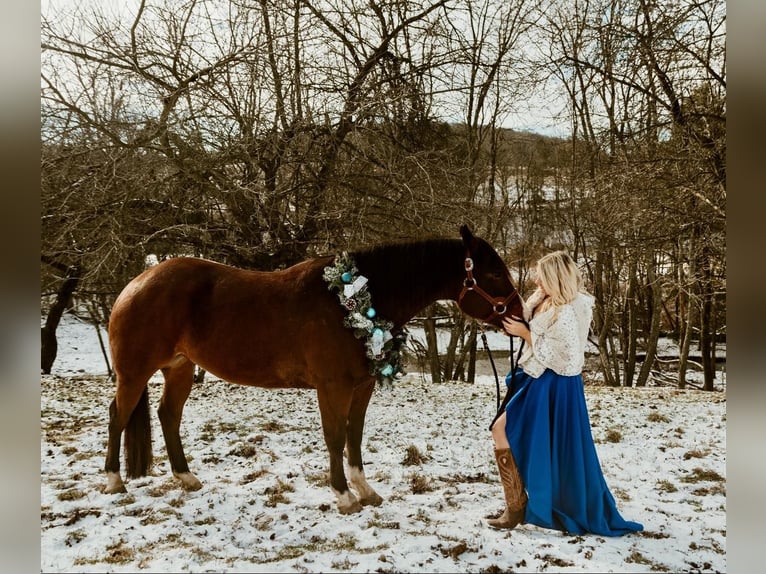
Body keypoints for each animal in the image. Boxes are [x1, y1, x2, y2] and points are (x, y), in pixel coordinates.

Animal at [105, 224, 524, 512]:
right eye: (494, 274)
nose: (521, 316)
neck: (351, 302)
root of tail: (135, 284)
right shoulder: (332, 387)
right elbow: (335, 437)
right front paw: (343, 495)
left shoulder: (361, 387)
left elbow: (355, 435)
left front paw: (364, 490)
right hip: (134, 373)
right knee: (118, 416)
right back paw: (113, 482)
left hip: (179, 368)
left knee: (168, 415)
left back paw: (186, 478)